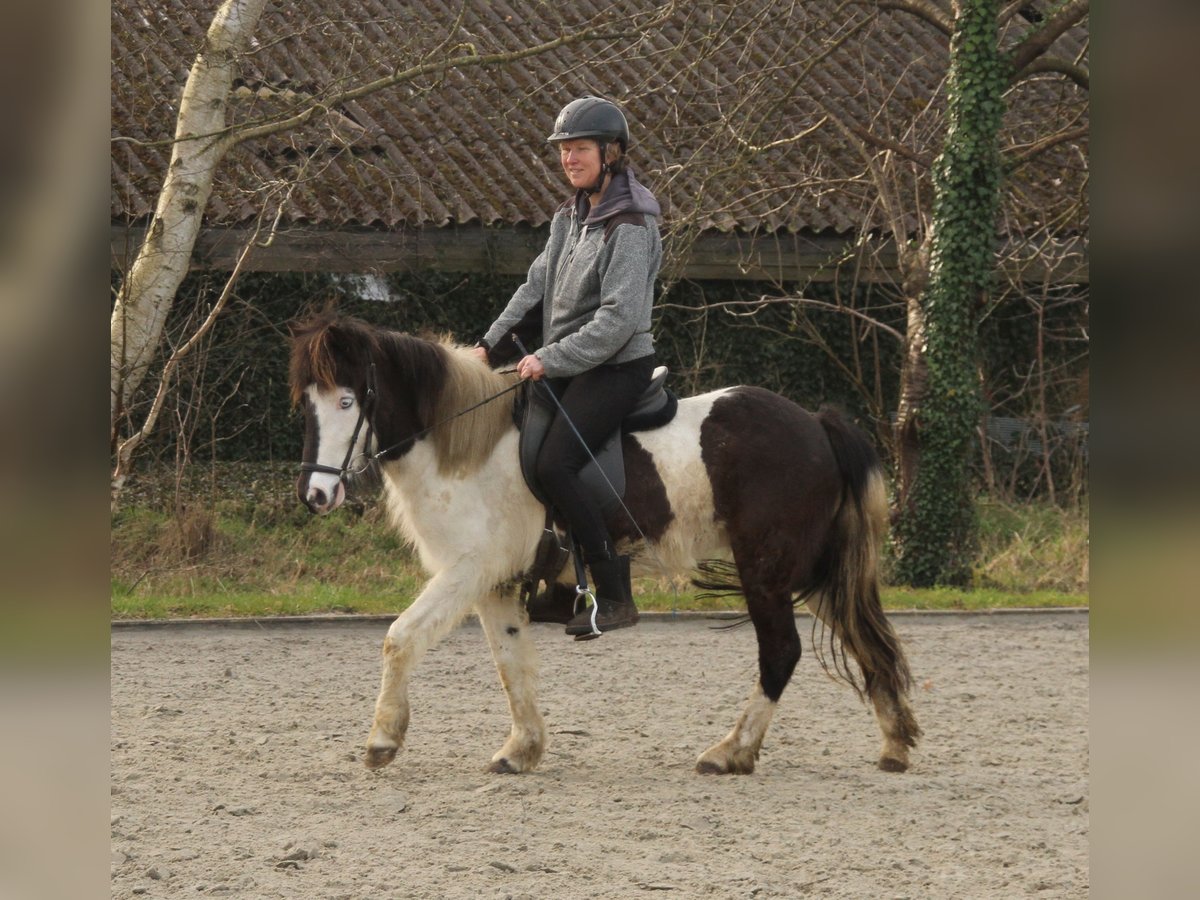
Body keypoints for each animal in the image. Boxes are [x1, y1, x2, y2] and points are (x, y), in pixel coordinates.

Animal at [288, 314, 916, 777]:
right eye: (307, 402)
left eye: (348, 400)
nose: (315, 494)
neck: (467, 445)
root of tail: (815, 423)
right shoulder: (494, 581)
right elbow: (510, 663)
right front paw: (522, 749)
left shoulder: (468, 569)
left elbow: (400, 638)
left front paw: (382, 740)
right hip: (804, 572)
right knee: (863, 635)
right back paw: (894, 743)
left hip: (766, 570)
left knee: (782, 652)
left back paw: (731, 752)